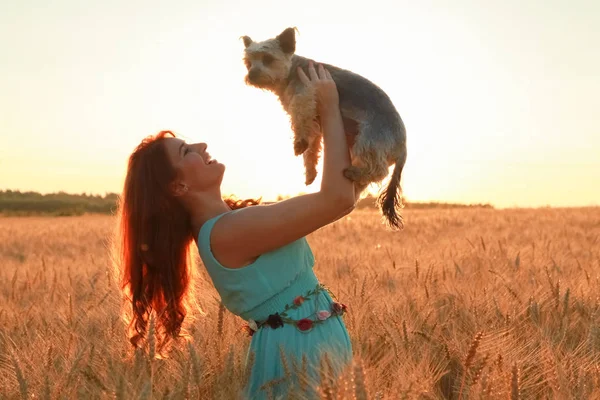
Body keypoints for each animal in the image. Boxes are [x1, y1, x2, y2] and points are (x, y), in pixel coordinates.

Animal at [241, 27, 406, 228]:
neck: (289, 74)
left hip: (370, 139)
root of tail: (403, 147)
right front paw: (310, 172)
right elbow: (311, 150)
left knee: (379, 170)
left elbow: (300, 117)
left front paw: (299, 143)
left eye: (267, 59)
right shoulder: (317, 124)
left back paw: (353, 172)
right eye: (248, 63)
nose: (251, 75)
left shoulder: (305, 94)